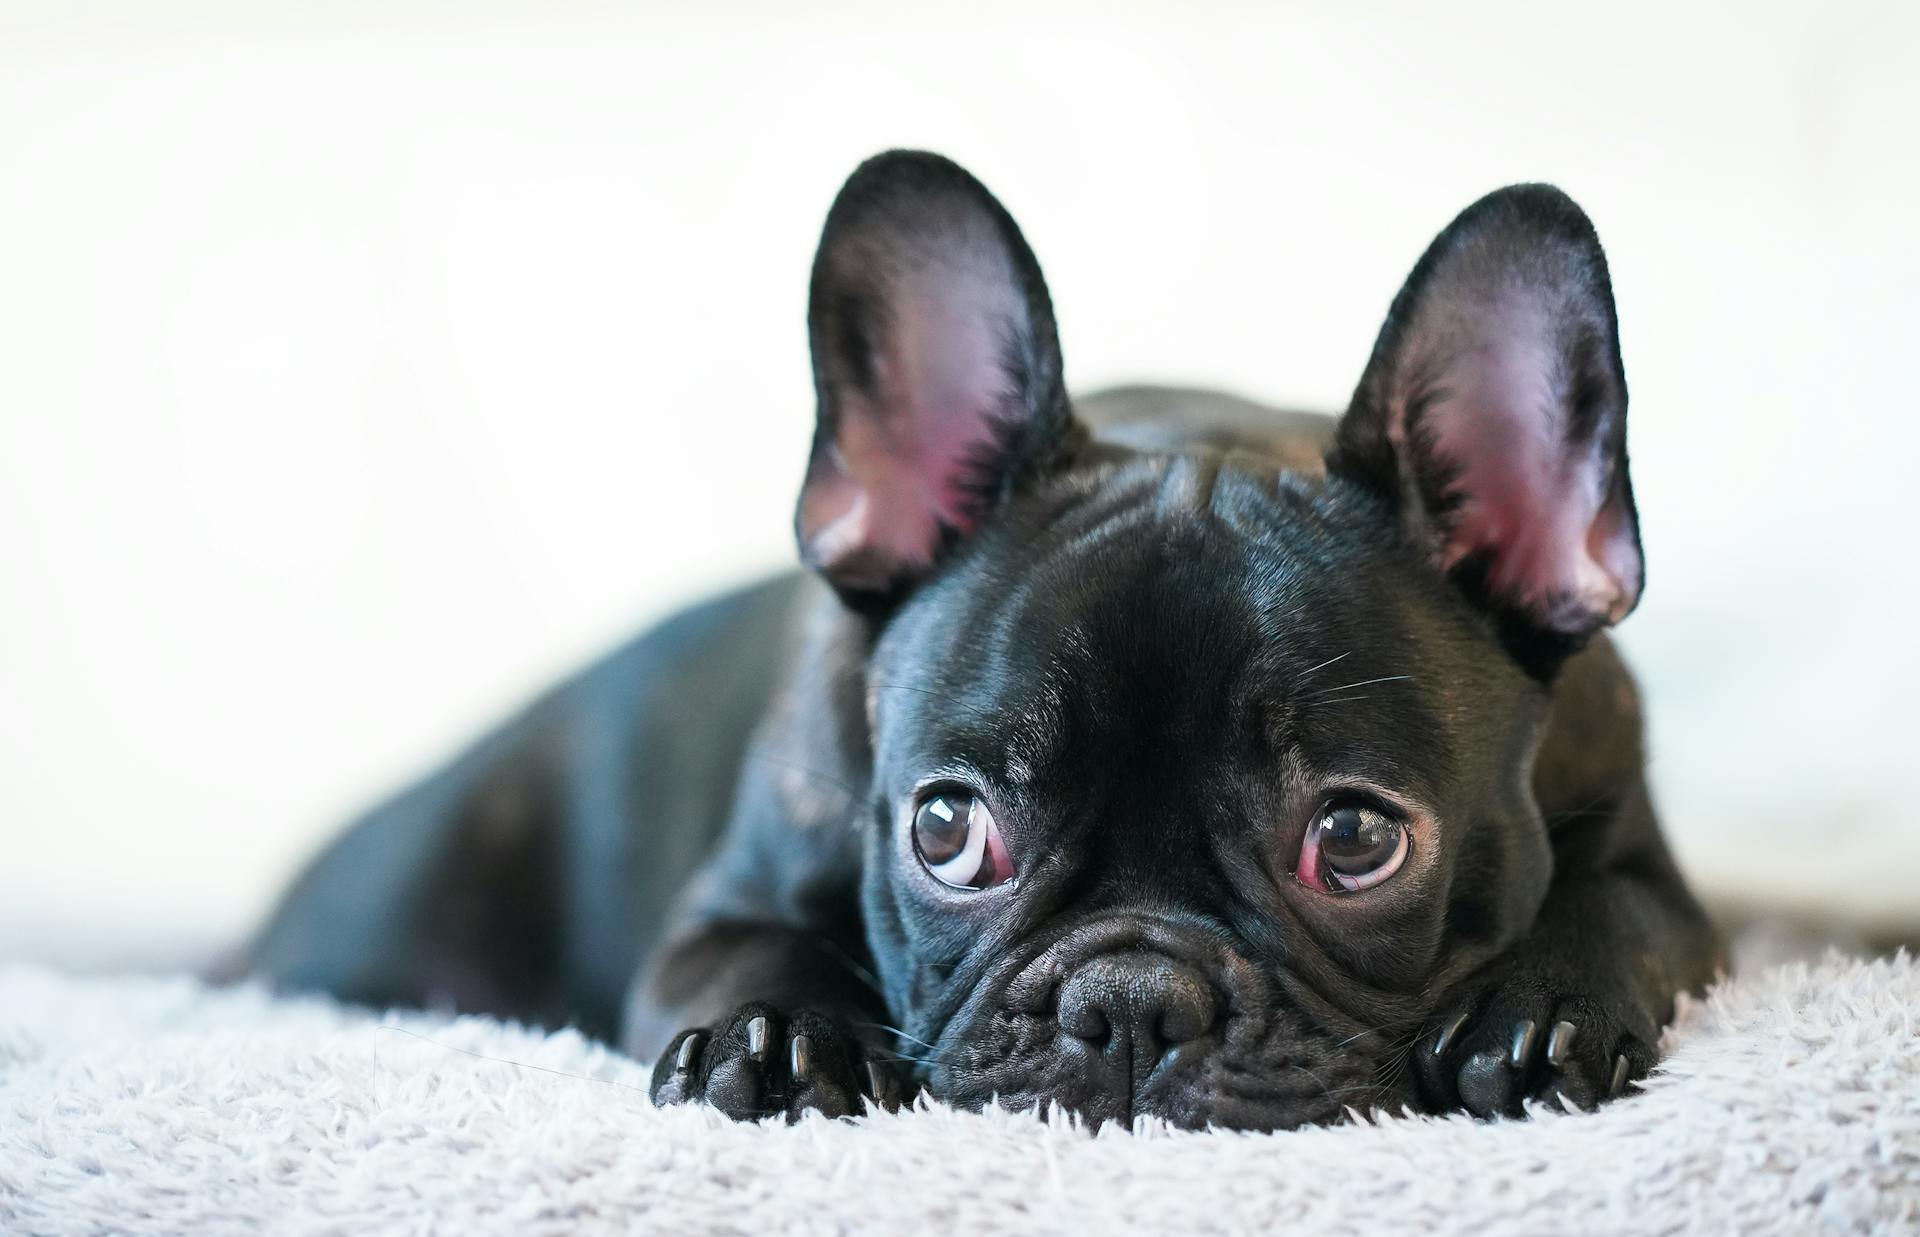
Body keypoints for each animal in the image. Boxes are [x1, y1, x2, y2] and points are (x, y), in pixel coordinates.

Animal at [243, 151, 1728, 1129]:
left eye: (1356, 839)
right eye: (947, 831)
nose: (1131, 1001)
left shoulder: (1654, 858)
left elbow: (1620, 913)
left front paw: (1539, 1005)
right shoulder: (722, 905)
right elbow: (745, 954)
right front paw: (773, 1037)